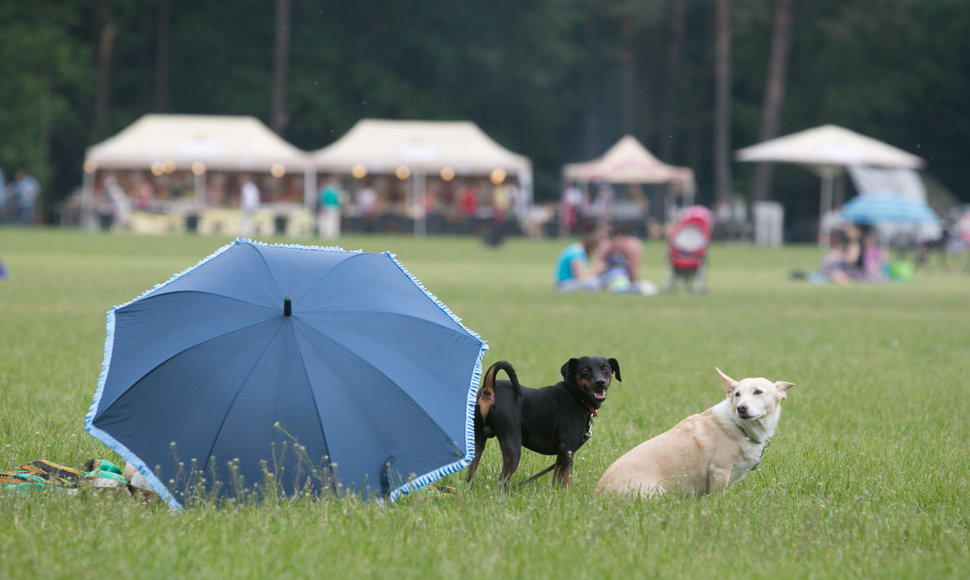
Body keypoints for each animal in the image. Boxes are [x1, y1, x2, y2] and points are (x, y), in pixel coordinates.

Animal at [466, 356, 620, 488]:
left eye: (605, 368)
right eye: (585, 370)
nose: (600, 382)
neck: (575, 395)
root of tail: (489, 391)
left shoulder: (562, 452)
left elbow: (558, 477)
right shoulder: (567, 447)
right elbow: (566, 478)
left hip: (477, 441)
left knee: (470, 473)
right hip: (512, 445)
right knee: (503, 480)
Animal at [592, 370, 792, 496]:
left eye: (758, 392)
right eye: (737, 394)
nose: (741, 408)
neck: (739, 426)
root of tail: (598, 498)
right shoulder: (719, 471)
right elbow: (718, 498)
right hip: (655, 493)